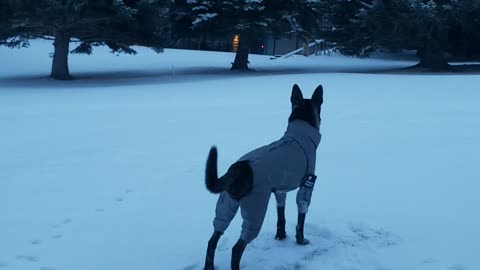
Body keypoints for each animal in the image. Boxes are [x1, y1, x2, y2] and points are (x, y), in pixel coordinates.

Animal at [202, 83, 322, 268]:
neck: (300, 135)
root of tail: (238, 167)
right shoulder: (306, 187)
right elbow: (300, 220)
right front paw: (301, 241)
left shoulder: (280, 190)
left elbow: (281, 215)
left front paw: (281, 236)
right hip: (255, 208)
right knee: (236, 249)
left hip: (226, 204)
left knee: (213, 238)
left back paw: (209, 266)